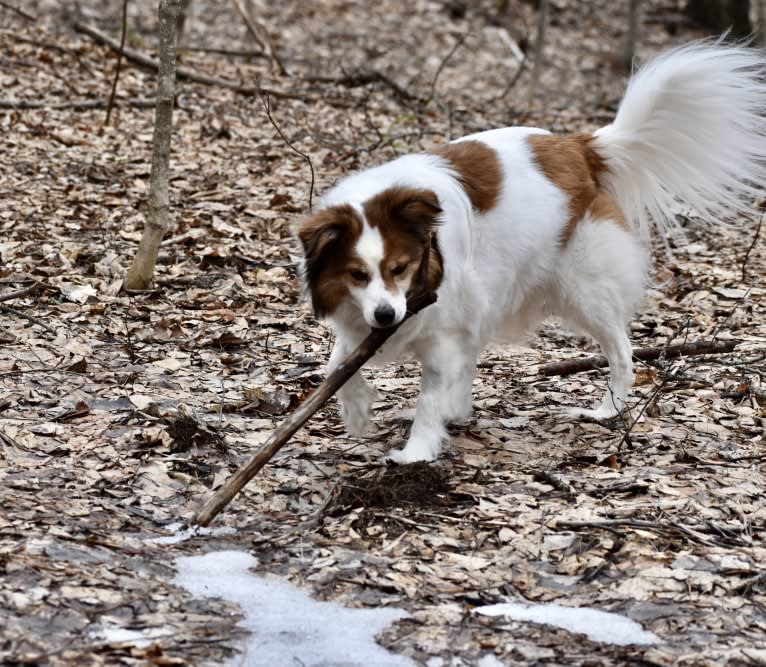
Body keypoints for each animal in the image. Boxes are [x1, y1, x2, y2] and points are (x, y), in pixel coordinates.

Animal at [296, 41, 764, 464]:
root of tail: (580, 147)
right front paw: (357, 411)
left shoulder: (442, 329)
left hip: (583, 289)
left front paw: (416, 452)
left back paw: (607, 410)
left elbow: (427, 397)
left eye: (400, 268)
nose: (385, 317)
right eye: (357, 274)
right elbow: (337, 364)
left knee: (621, 350)